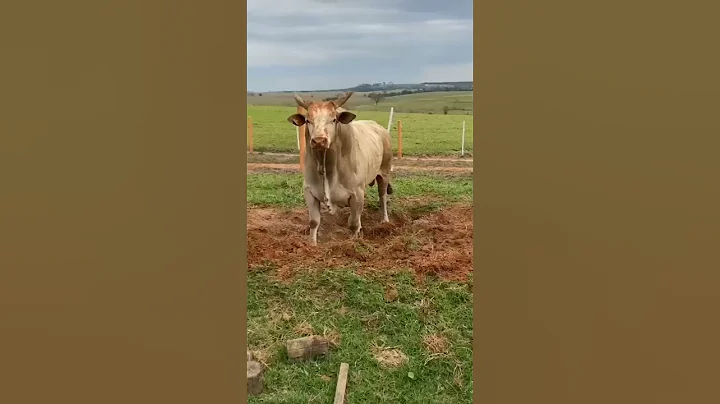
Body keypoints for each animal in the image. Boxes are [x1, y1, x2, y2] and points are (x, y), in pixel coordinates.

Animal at [286, 92, 394, 246]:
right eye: (308, 120)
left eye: (333, 119)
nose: (319, 140)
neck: (327, 166)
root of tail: (380, 128)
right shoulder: (309, 192)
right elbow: (314, 222)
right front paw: (312, 245)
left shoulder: (357, 194)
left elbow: (353, 223)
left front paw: (354, 243)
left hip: (384, 173)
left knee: (382, 197)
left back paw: (385, 220)